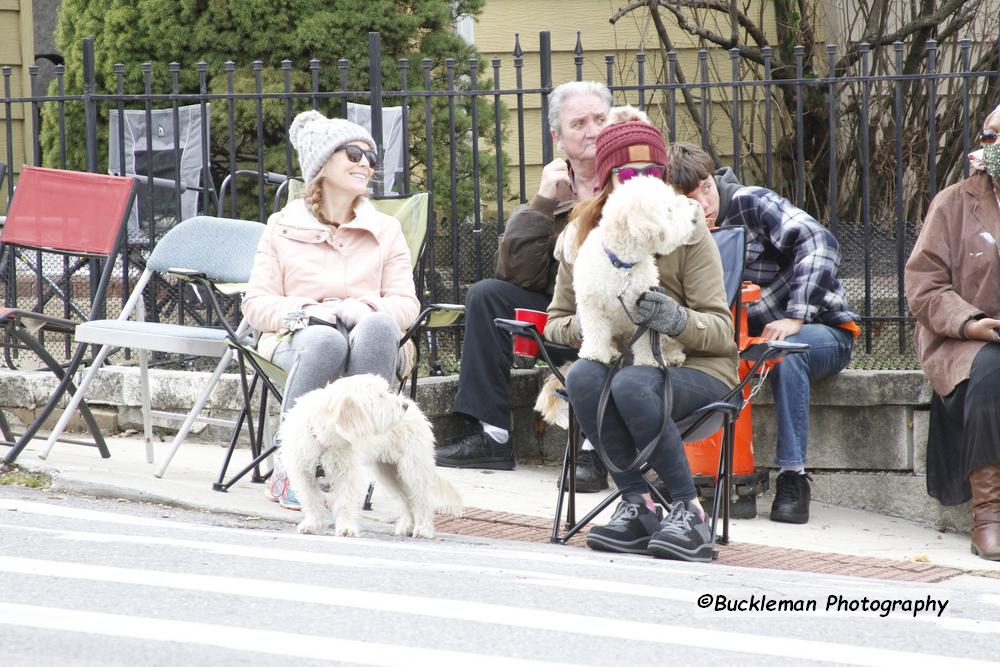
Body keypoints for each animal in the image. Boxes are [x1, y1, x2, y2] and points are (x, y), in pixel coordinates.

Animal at [280, 376, 462, 536]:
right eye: (380, 396)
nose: (404, 406)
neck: (323, 438)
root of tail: (417, 409)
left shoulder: (348, 472)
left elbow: (345, 501)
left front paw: (346, 528)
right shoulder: (302, 472)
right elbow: (310, 500)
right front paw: (313, 524)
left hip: (413, 467)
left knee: (422, 499)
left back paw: (423, 529)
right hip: (390, 473)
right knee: (407, 499)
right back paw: (407, 526)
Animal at [572, 175, 704, 368]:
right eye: (669, 210)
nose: (694, 220)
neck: (623, 265)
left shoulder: (645, 308)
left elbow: (646, 340)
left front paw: (648, 360)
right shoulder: (592, 303)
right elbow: (596, 330)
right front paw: (595, 354)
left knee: (670, 342)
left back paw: (672, 357)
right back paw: (611, 352)